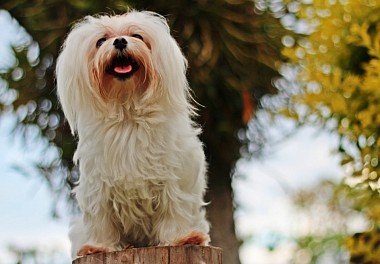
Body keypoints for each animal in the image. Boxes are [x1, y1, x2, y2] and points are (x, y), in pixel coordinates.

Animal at [56, 10, 209, 258]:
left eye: (137, 35)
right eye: (101, 41)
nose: (119, 41)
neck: (127, 110)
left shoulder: (175, 179)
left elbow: (174, 208)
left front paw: (180, 238)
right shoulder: (98, 186)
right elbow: (101, 217)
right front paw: (100, 246)